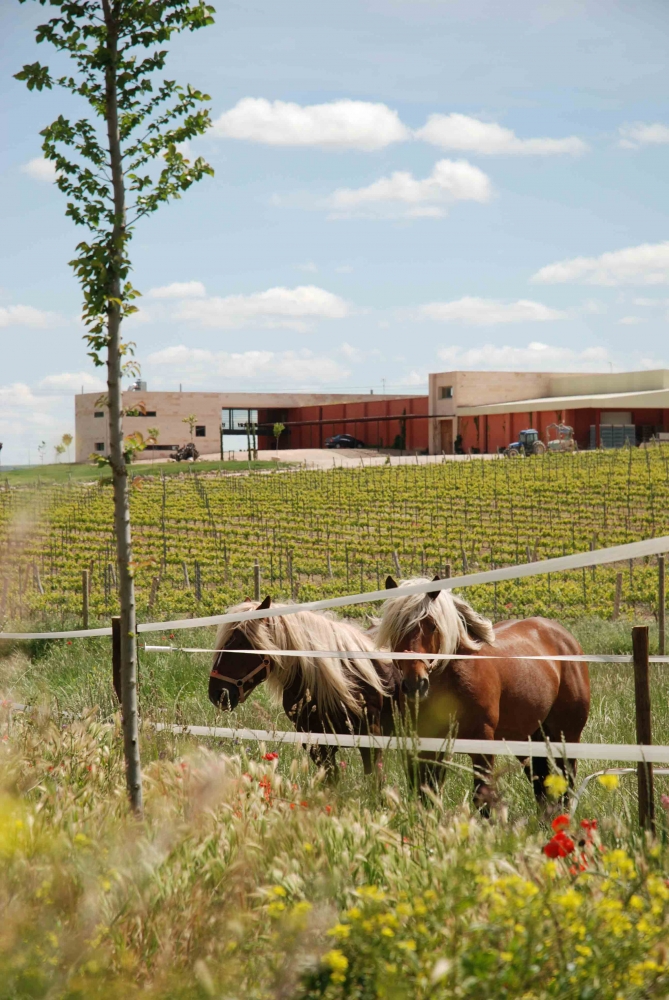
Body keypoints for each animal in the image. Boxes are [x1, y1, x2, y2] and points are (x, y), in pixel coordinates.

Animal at [376, 576, 588, 808]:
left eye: (432, 625)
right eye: (395, 628)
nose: (415, 683)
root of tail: (565, 637)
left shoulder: (482, 747)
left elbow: (483, 798)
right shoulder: (427, 748)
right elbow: (427, 796)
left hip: (566, 735)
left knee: (566, 780)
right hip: (530, 737)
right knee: (540, 783)